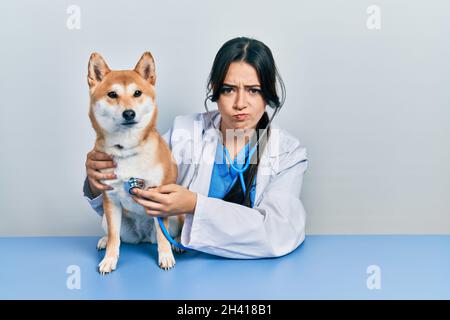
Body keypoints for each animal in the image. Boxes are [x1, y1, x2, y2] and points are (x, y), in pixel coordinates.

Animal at [88, 51, 183, 274]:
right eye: (112, 94)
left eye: (137, 93)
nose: (129, 113)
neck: (127, 149)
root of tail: (143, 237)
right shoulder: (110, 199)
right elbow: (115, 238)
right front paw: (109, 259)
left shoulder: (160, 198)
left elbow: (163, 235)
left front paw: (166, 256)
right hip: (108, 219)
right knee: (115, 235)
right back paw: (103, 240)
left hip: (176, 216)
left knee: (167, 234)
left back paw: (177, 244)